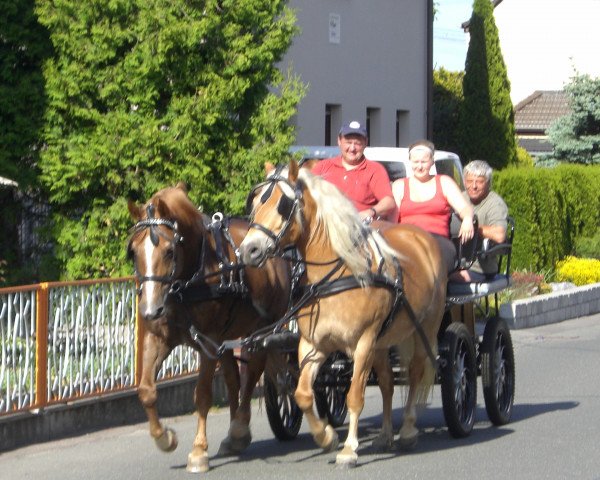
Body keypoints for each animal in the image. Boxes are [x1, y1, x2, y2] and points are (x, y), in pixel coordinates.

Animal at [127, 183, 292, 472]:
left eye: (169, 251)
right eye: (134, 252)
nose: (149, 310)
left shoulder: (208, 341)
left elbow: (203, 394)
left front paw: (198, 451)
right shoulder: (158, 337)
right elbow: (146, 390)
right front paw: (164, 438)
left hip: (262, 330)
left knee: (253, 375)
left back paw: (239, 428)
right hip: (227, 339)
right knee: (234, 379)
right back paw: (234, 437)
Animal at [238, 161, 446, 464]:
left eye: (283, 205)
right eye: (254, 202)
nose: (248, 251)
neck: (338, 274)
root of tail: (419, 236)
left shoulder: (363, 343)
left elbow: (354, 396)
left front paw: (349, 449)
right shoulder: (313, 344)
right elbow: (302, 393)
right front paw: (326, 437)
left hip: (425, 328)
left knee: (416, 371)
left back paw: (407, 430)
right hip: (382, 342)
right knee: (387, 382)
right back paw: (385, 435)